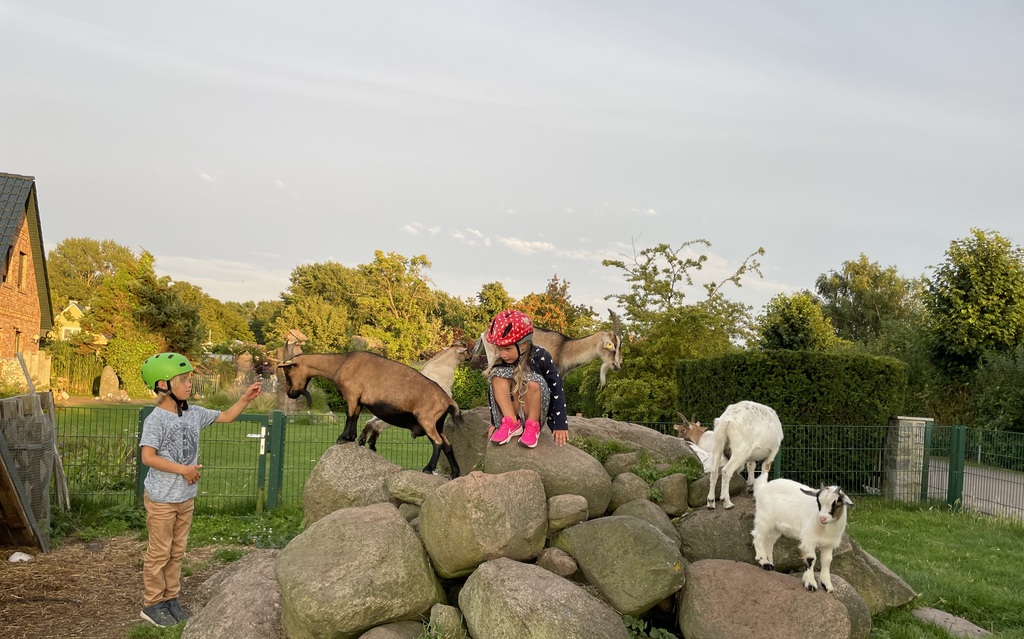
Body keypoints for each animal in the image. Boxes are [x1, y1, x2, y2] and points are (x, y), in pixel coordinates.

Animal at [278, 352, 463, 478]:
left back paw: (428, 468)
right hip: (438, 424)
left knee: (437, 443)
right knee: (447, 445)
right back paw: (455, 473)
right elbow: (355, 417)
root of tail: (448, 401)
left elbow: (349, 415)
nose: (290, 394)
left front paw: (342, 438)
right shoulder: (359, 400)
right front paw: (352, 438)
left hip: (427, 420)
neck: (341, 363)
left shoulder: (352, 395)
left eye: (288, 372)